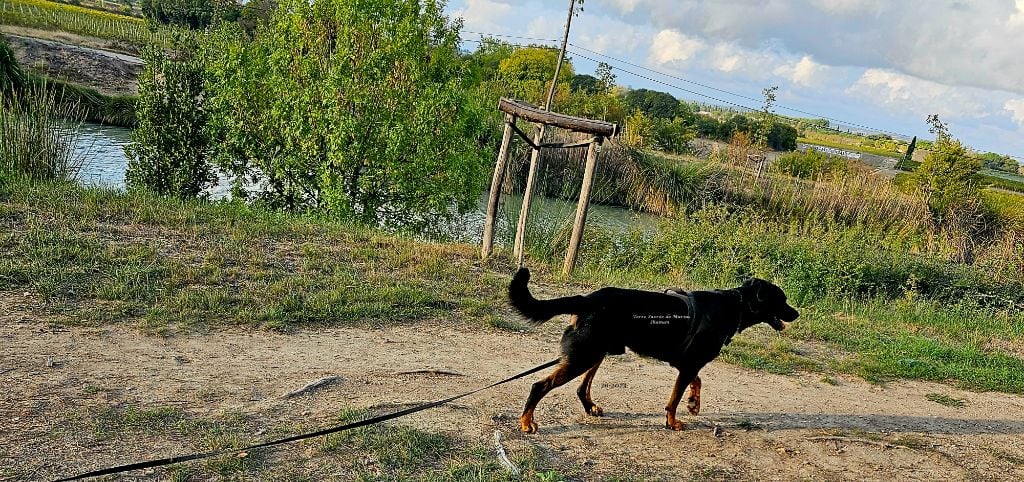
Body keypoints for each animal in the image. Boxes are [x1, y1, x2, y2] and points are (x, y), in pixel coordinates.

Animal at [507, 268, 794, 433]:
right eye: (782, 300)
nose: (797, 313)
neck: (735, 305)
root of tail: (586, 299)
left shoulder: (686, 363)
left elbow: (696, 383)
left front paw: (694, 404)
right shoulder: (689, 364)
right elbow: (674, 399)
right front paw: (673, 422)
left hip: (596, 353)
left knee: (581, 387)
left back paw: (590, 407)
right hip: (584, 355)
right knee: (539, 385)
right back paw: (526, 422)